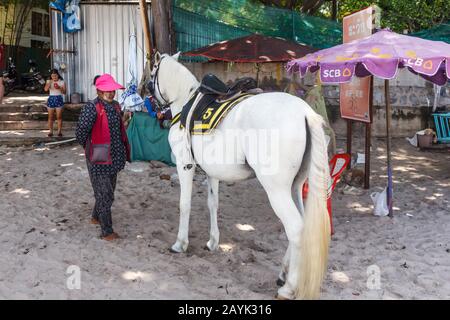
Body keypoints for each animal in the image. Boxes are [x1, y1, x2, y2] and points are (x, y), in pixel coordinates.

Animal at [149, 52, 328, 300]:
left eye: (151, 74)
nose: (147, 97)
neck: (184, 101)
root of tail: (305, 113)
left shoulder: (185, 166)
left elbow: (184, 204)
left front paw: (180, 244)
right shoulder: (212, 172)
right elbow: (212, 204)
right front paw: (212, 242)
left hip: (277, 190)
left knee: (295, 228)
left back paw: (289, 286)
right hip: (295, 186)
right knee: (302, 224)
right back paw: (284, 273)